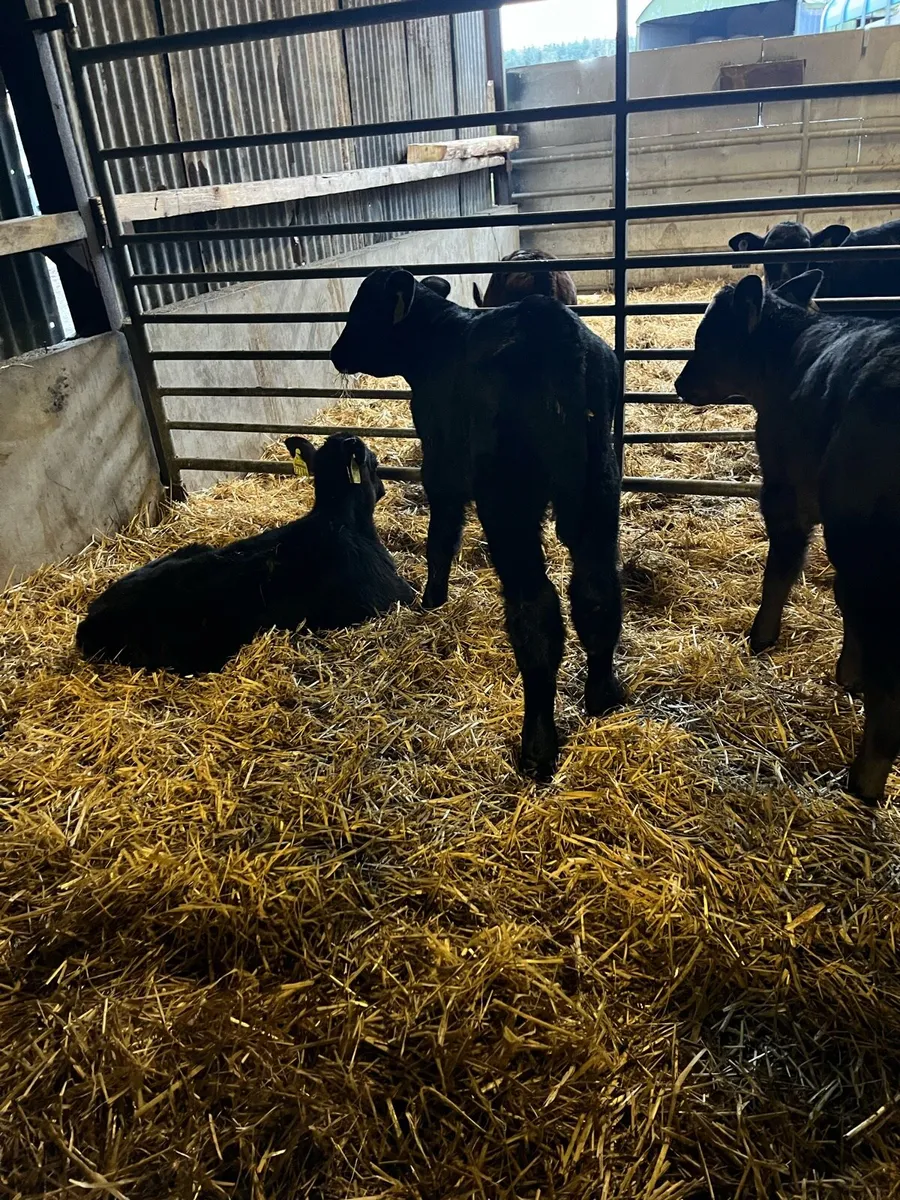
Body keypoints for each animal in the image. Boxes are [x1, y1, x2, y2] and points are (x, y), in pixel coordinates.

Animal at [330, 268, 624, 780]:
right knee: (597, 591)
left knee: (537, 612)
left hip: (508, 497)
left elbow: (441, 533)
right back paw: (602, 697)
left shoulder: (441, 461)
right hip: (599, 485)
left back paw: (537, 746)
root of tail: (553, 328)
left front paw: (431, 600)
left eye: (362, 309)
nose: (336, 352)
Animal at [675, 269, 900, 803]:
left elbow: (780, 570)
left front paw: (761, 636)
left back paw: (864, 780)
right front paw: (848, 674)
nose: (679, 383)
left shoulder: (784, 491)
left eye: (706, 338)